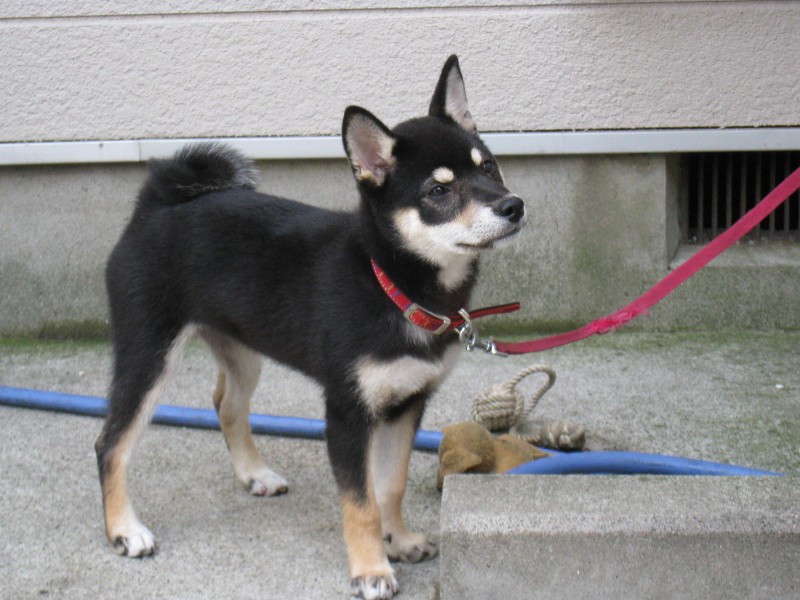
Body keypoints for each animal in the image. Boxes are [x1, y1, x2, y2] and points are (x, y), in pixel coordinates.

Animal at [95, 54, 524, 596]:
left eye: (487, 165)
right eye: (439, 190)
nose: (513, 206)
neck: (390, 284)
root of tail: (156, 205)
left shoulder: (406, 403)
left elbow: (391, 485)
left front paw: (399, 540)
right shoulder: (346, 412)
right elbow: (361, 503)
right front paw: (370, 568)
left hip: (241, 349)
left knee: (226, 404)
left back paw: (254, 474)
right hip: (148, 354)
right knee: (111, 443)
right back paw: (124, 530)